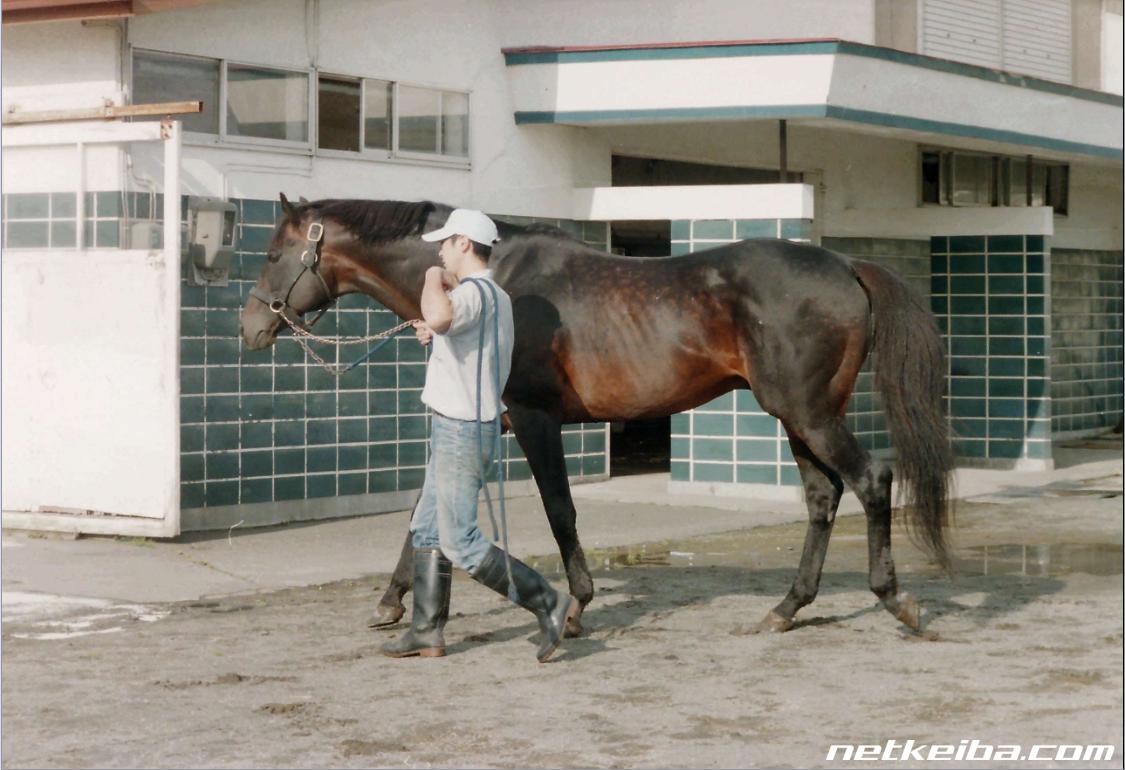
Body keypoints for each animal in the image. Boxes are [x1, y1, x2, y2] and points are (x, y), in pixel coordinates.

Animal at [241, 193, 954, 639]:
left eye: (273, 254)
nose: (250, 327)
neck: (498, 278)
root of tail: (846, 263)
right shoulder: (488, 424)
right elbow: (424, 507)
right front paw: (391, 602)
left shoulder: (533, 419)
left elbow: (560, 509)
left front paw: (577, 607)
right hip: (800, 417)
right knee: (822, 497)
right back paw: (786, 608)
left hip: (805, 411)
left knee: (871, 482)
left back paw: (897, 601)